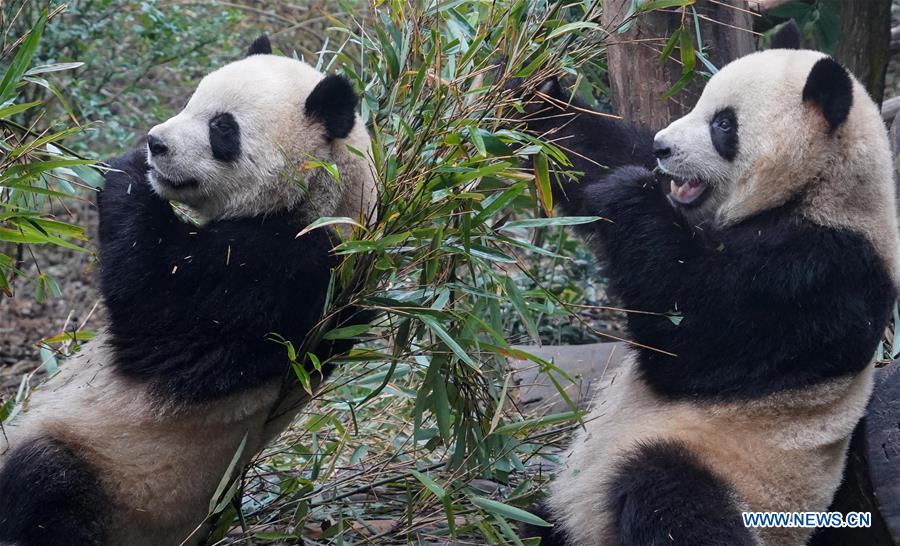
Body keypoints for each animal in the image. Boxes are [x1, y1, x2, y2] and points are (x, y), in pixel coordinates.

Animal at [0, 36, 376, 540]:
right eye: (190, 102)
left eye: (222, 129)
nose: (156, 143)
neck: (329, 196)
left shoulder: (284, 271)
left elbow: (154, 302)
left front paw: (125, 169)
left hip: (118, 478)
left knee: (44, 487)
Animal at [516, 49, 896, 540]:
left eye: (724, 125)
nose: (662, 148)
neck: (821, 186)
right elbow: (596, 150)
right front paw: (530, 85)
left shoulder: (823, 271)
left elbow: (695, 334)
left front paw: (627, 192)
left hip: (740, 479)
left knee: (668, 493)